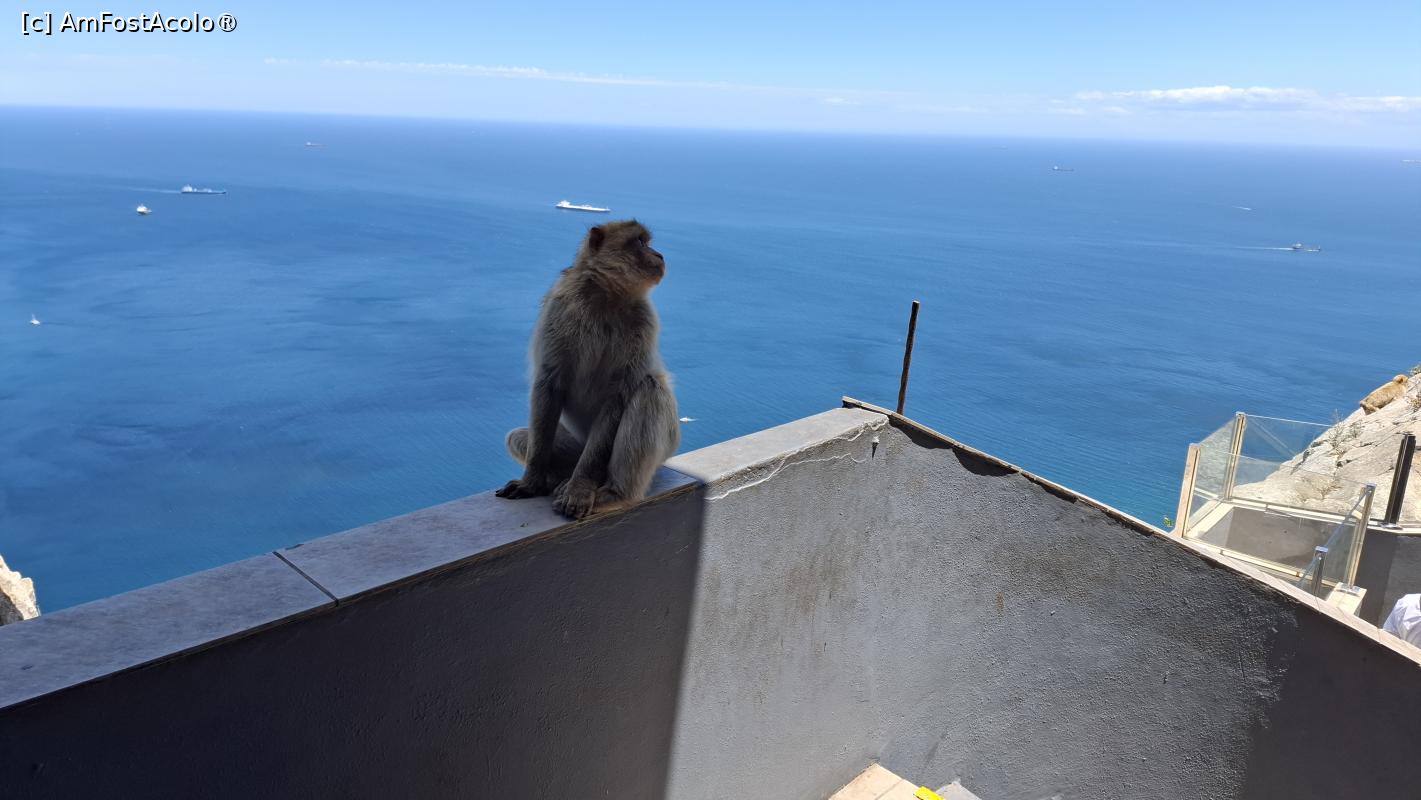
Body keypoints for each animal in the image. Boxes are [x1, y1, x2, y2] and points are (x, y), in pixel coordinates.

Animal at [496, 220, 680, 519]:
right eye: (640, 243)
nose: (659, 254)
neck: (607, 298)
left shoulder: (644, 322)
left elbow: (618, 396)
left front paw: (580, 489)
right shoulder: (559, 309)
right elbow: (549, 384)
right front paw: (532, 481)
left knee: (649, 389)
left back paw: (613, 493)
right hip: (574, 447)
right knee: (519, 436)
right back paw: (556, 482)